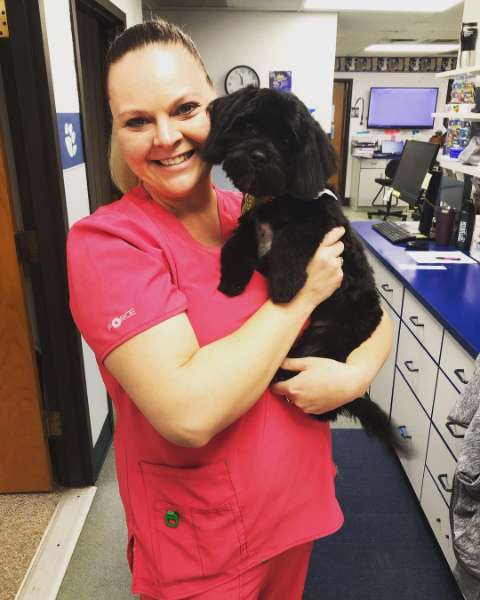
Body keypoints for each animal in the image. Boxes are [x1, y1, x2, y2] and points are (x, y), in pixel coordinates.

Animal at [202, 86, 406, 454]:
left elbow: (293, 239)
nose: (258, 155)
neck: (275, 200)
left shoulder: (319, 220)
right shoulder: (251, 224)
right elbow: (237, 243)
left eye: (285, 141)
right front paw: (232, 280)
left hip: (325, 339)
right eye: (248, 127)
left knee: (324, 402)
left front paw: (285, 285)